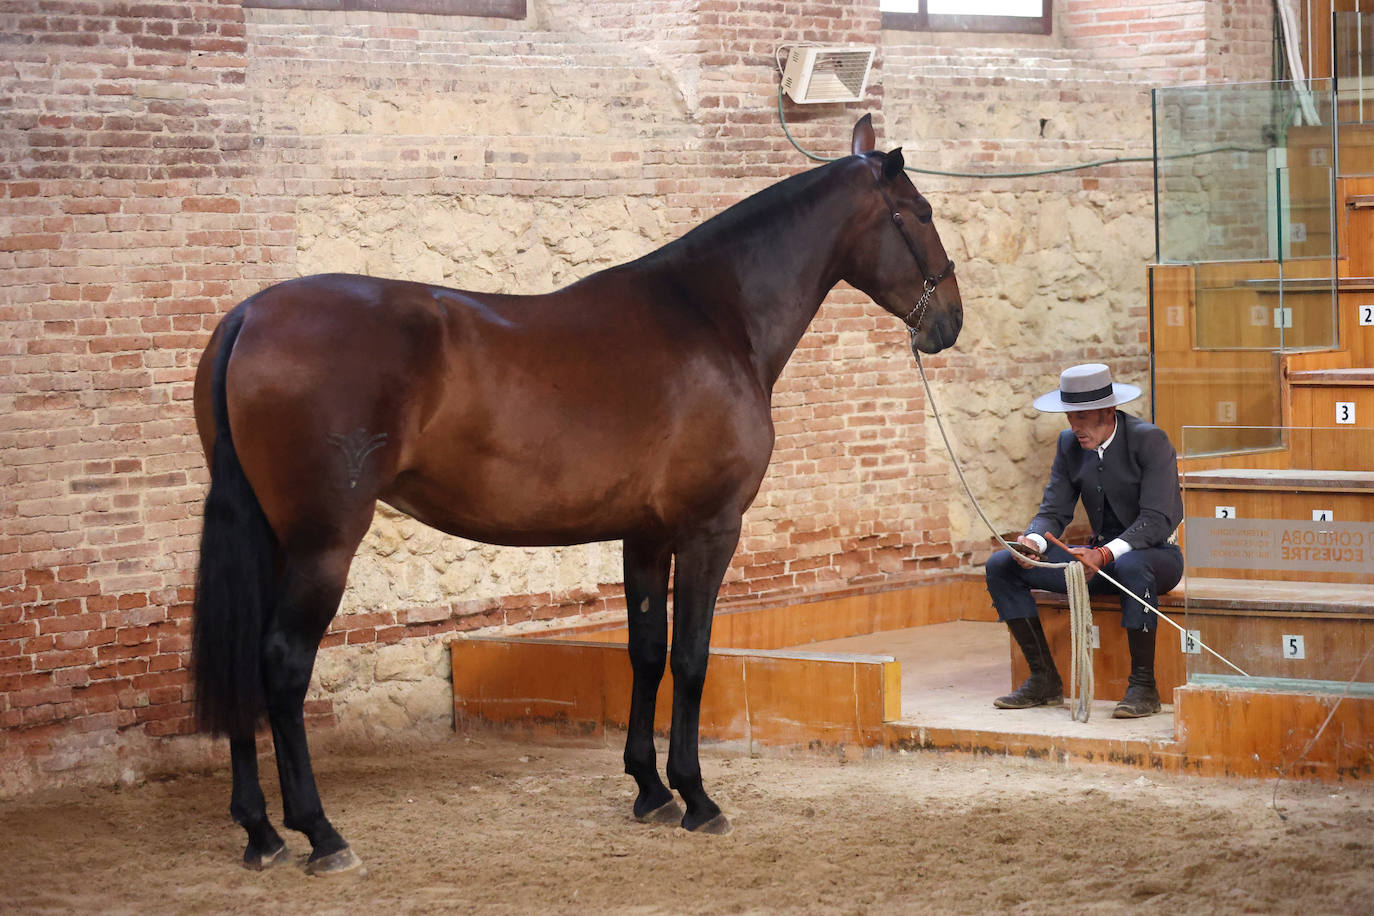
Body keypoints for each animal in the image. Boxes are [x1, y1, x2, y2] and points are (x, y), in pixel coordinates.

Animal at [190, 114, 967, 873]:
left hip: (270, 539)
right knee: (282, 665)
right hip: (322, 545)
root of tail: (249, 316)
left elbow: (646, 651)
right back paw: (320, 833)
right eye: (921, 214)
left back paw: (259, 831)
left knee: (243, 661)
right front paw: (697, 797)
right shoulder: (710, 527)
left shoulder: (645, 534)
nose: (951, 321)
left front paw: (650, 789)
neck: (714, 316)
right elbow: (692, 657)